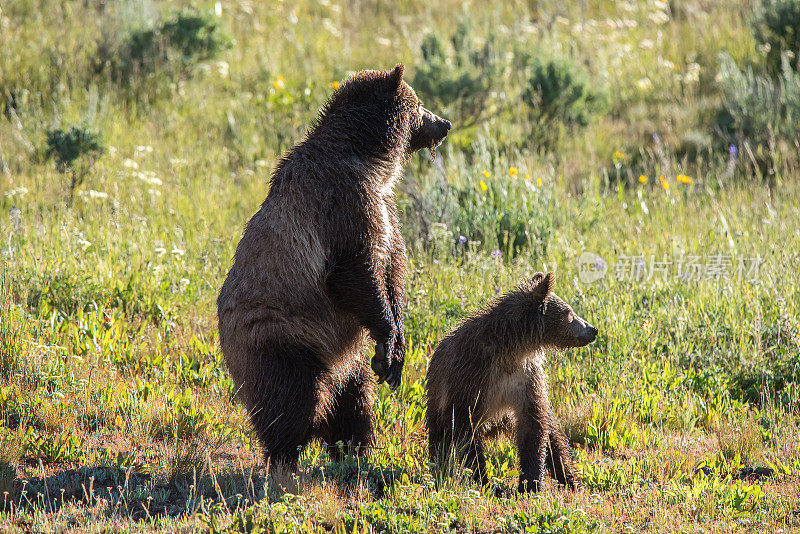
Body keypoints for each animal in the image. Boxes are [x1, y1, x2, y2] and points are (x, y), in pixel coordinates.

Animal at [217, 66, 450, 468]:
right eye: (420, 104)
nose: (445, 123)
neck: (370, 164)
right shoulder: (342, 202)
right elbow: (353, 272)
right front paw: (388, 341)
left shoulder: (385, 210)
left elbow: (392, 273)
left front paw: (394, 353)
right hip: (280, 335)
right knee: (293, 398)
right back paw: (287, 455)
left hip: (346, 358)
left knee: (353, 402)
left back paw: (353, 451)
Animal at [428, 274, 596, 496]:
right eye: (569, 313)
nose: (593, 329)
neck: (511, 351)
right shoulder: (470, 377)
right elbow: (465, 429)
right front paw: (485, 480)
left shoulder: (526, 379)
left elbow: (534, 426)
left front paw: (530, 483)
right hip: (437, 399)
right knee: (440, 439)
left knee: (555, 438)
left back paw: (570, 480)